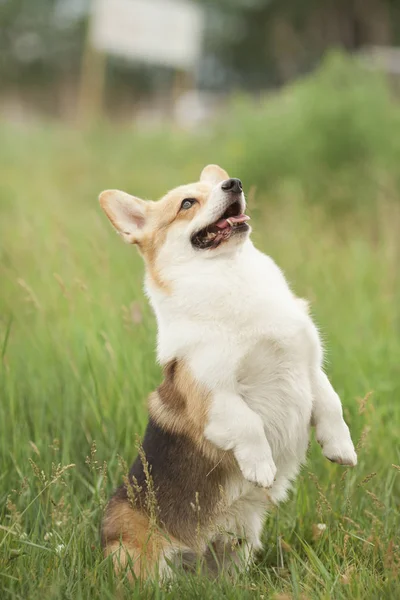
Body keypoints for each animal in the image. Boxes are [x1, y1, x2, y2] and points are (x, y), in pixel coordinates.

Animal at [99, 165, 356, 580]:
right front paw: (262, 469)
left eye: (222, 184)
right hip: (141, 559)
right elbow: (248, 424)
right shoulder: (216, 395)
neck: (229, 273)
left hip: (242, 543)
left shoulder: (309, 367)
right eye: (187, 203)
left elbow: (332, 406)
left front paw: (342, 450)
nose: (233, 183)